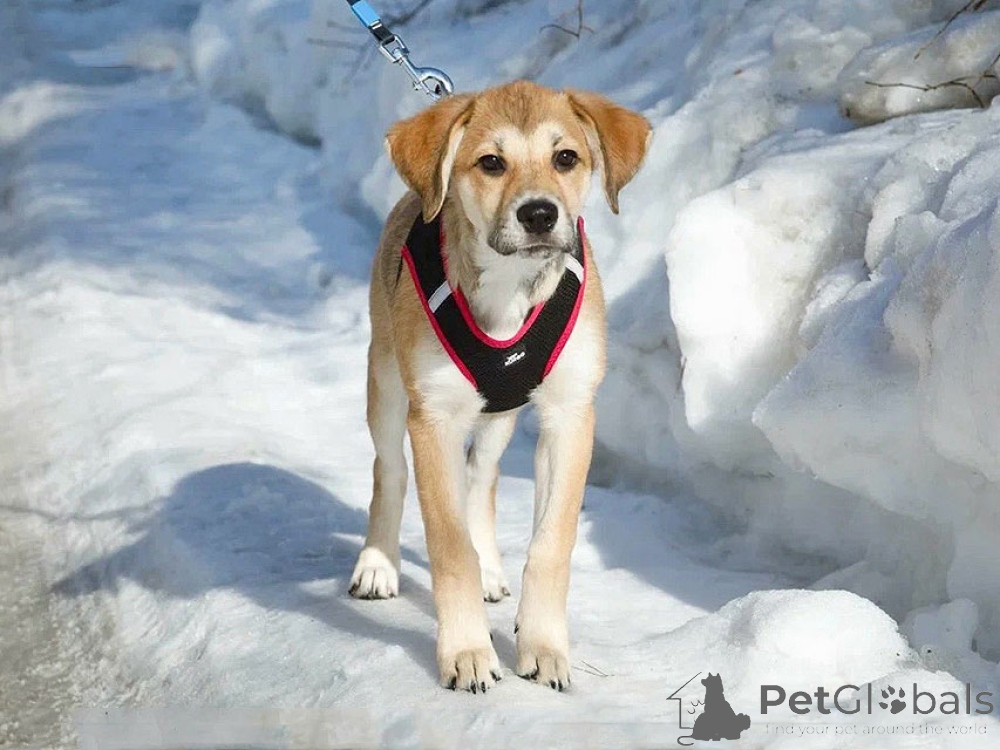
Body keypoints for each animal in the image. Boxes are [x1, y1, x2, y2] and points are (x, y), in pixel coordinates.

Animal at [349, 80, 650, 692]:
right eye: (491, 162)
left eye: (566, 158)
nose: (539, 213)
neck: (510, 289)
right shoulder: (434, 418)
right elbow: (449, 547)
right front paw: (466, 654)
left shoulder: (570, 414)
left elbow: (551, 543)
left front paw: (544, 647)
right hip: (387, 381)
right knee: (389, 469)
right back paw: (377, 565)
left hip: (500, 415)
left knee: (481, 476)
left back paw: (490, 568)